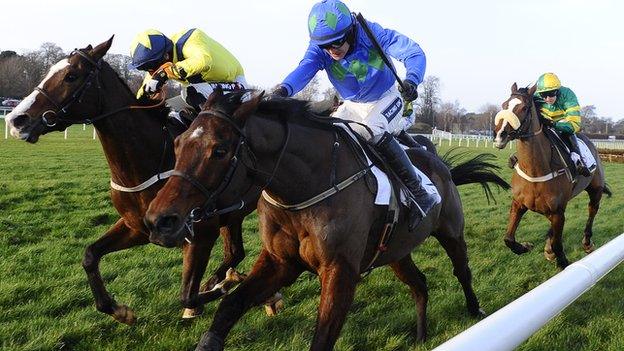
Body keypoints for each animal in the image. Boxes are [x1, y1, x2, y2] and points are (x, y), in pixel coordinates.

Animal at [4, 37, 260, 324]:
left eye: (71, 76)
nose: (15, 120)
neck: (151, 161)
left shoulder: (200, 234)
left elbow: (188, 295)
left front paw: (224, 287)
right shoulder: (136, 227)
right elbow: (90, 255)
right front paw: (119, 311)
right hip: (233, 215)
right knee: (235, 252)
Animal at [146, 89, 512, 350]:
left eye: (219, 150)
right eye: (177, 143)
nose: (159, 220)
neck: (307, 187)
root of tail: (442, 166)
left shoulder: (340, 271)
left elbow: (322, 338)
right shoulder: (280, 262)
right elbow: (229, 307)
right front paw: (217, 295)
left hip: (451, 232)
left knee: (462, 270)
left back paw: (476, 311)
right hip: (396, 252)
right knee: (419, 284)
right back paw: (422, 337)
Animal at [492, 83, 608, 270]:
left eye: (524, 108)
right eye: (504, 105)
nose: (499, 135)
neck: (536, 171)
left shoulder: (557, 212)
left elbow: (558, 246)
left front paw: (561, 259)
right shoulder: (518, 204)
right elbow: (508, 238)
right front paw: (525, 246)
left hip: (595, 189)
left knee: (592, 210)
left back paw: (587, 242)